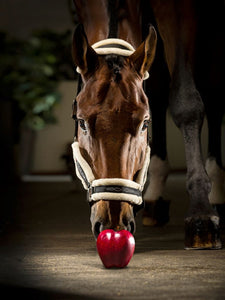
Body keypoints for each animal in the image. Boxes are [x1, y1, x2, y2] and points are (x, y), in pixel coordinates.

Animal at [72, 0, 225, 250]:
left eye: (145, 123)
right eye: (82, 122)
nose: (113, 222)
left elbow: (186, 103)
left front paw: (200, 213)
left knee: (214, 95)